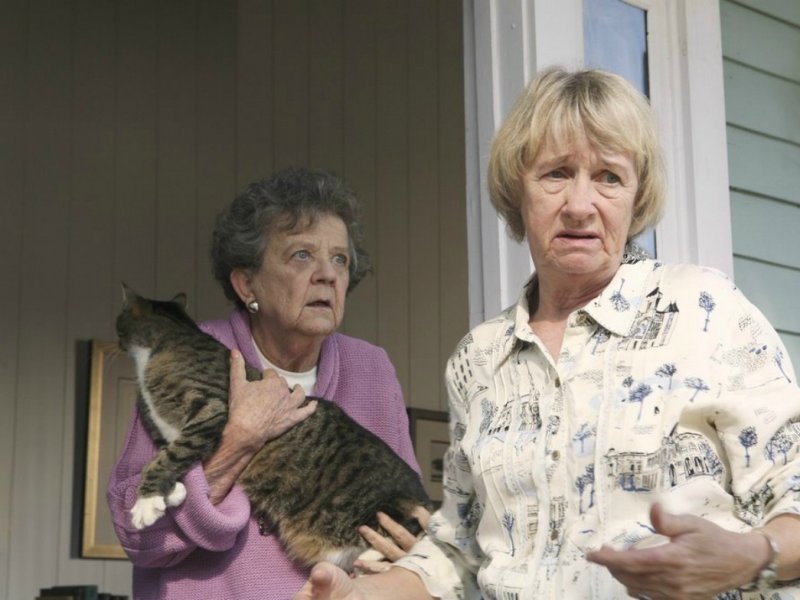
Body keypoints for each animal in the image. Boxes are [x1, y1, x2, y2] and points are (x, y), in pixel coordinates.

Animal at [115, 284, 433, 570]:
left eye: (118, 323)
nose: (115, 341)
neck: (170, 339)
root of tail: (426, 499)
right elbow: (170, 454)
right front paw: (174, 492)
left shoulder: (211, 408)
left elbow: (170, 455)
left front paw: (146, 503)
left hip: (383, 512)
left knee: (411, 538)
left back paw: (371, 556)